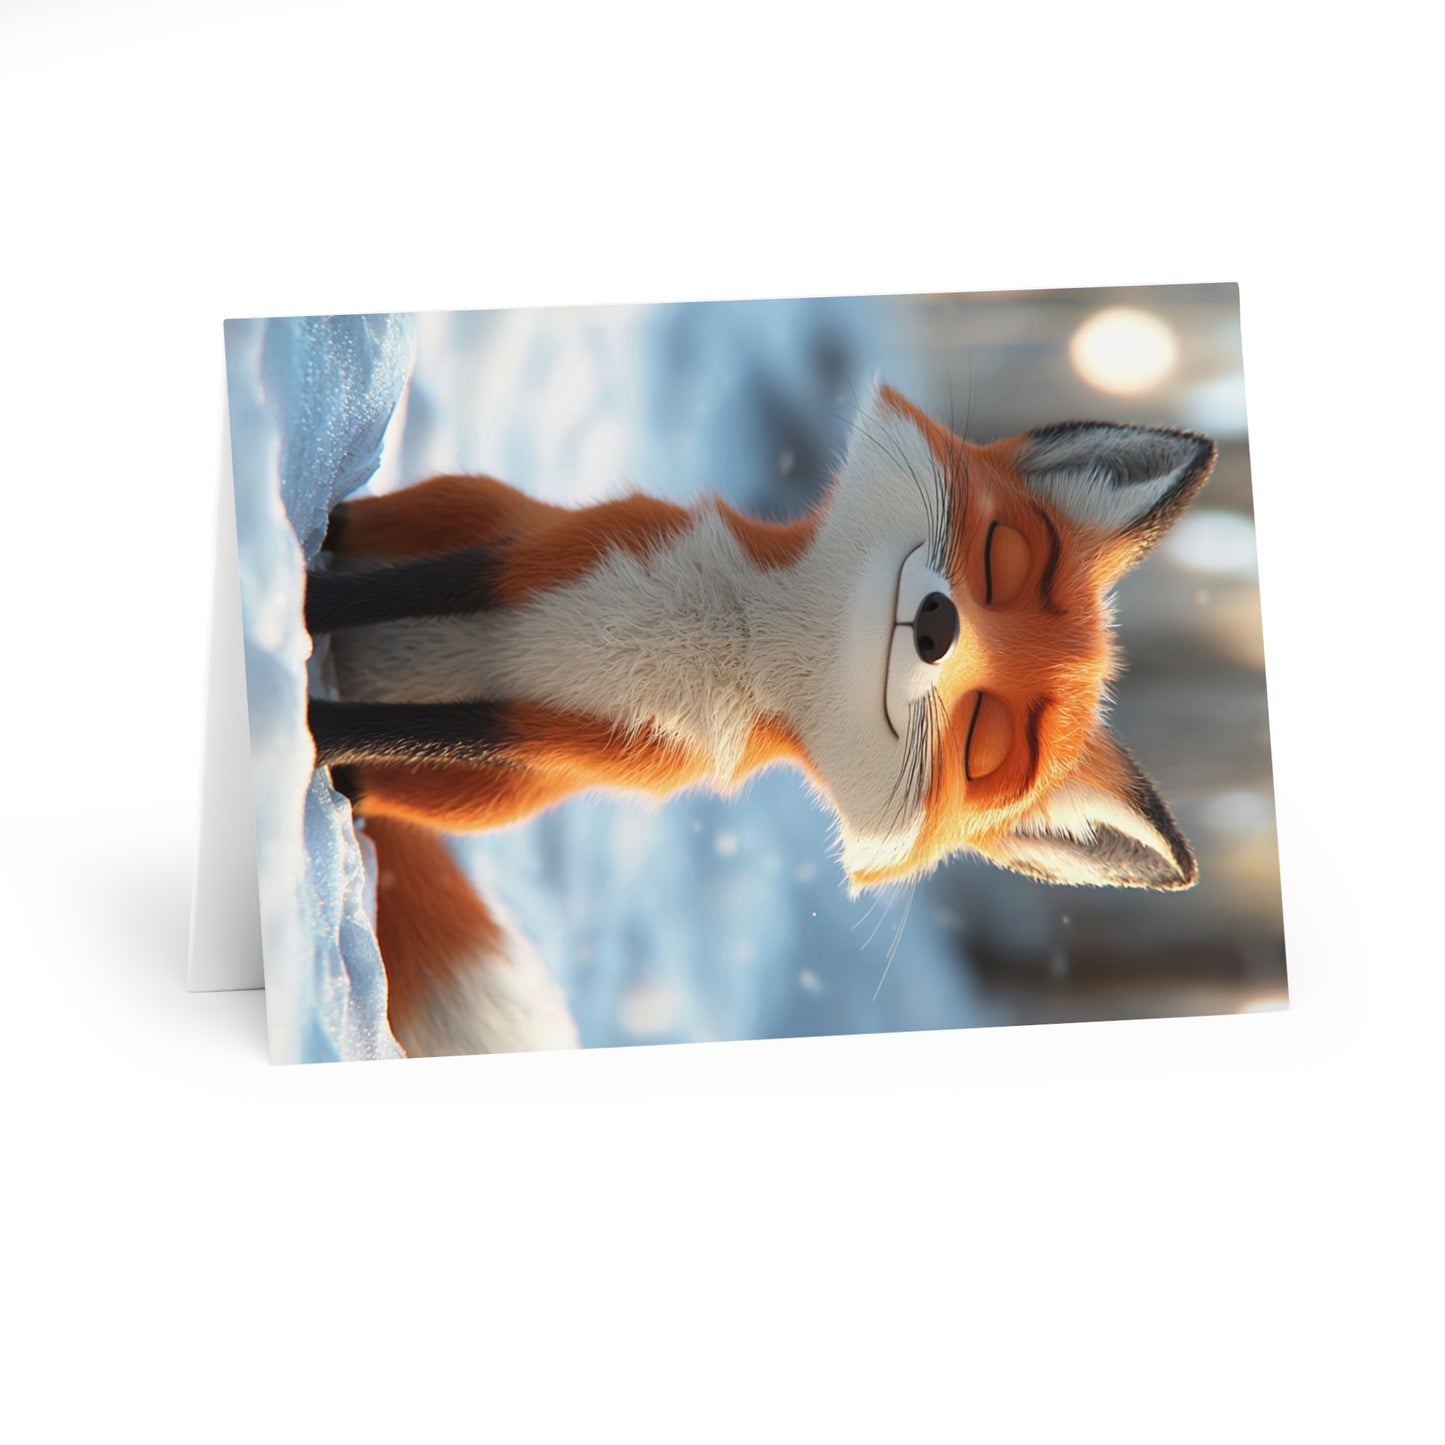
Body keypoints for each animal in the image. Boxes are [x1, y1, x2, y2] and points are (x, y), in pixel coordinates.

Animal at [305, 382, 1216, 1058]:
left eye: (983, 739)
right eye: (1003, 555)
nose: (935, 625)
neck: (736, 635)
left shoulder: (564, 734)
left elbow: (388, 730)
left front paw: (300, 720)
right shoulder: (536, 566)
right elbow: (371, 595)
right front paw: (291, 601)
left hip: (481, 790)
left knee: (366, 780)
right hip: (451, 520)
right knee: (356, 537)